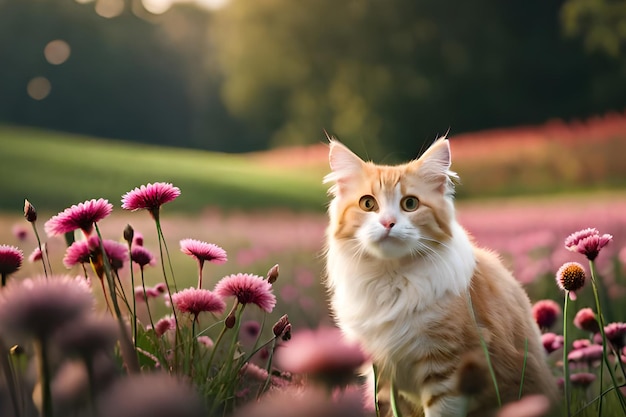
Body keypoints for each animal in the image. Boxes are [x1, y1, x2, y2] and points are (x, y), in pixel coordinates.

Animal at [322, 137, 556, 416]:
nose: (388, 223)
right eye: (368, 204)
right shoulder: (381, 376)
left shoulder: (447, 368)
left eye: (410, 204)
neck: (391, 278)